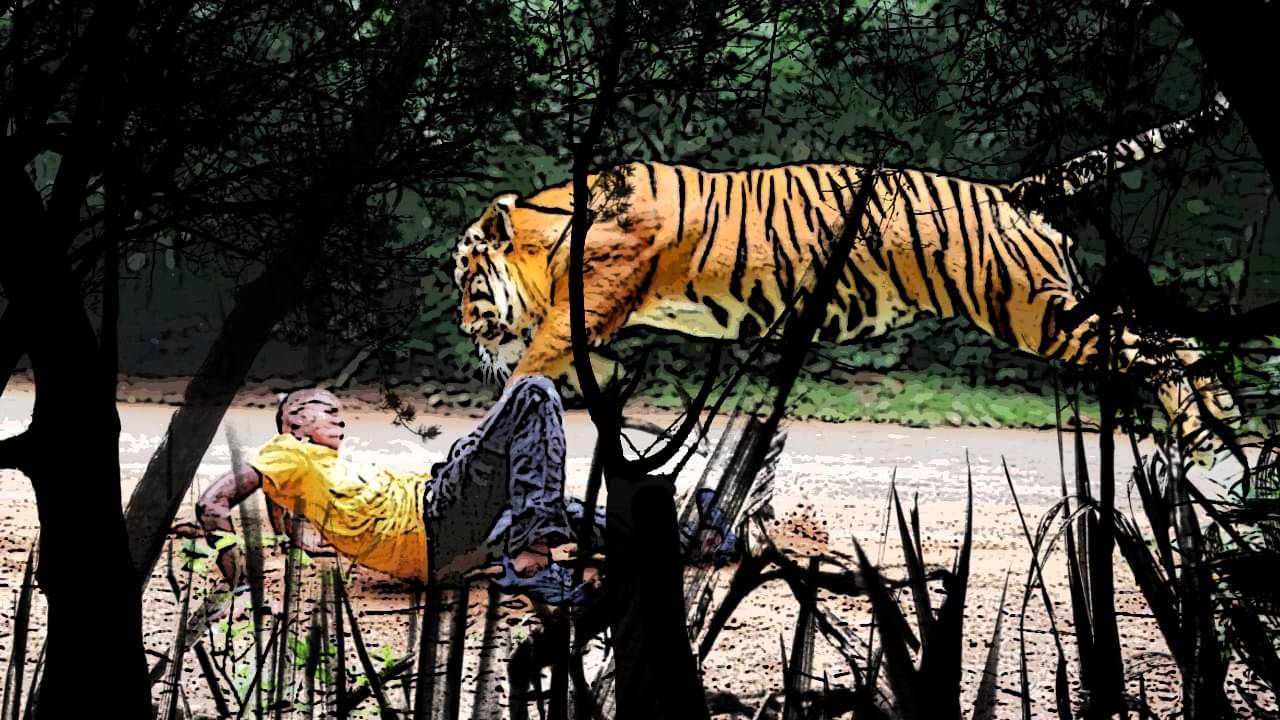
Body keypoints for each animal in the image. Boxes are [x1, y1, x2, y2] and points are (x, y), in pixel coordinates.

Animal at [452, 92, 1241, 466]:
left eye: (465, 277)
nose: (464, 326)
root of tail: (1012, 192)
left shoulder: (573, 320)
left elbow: (526, 371)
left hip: (1038, 314)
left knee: (1159, 346)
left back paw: (1205, 432)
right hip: (1054, 309)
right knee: (1176, 341)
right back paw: (1221, 427)